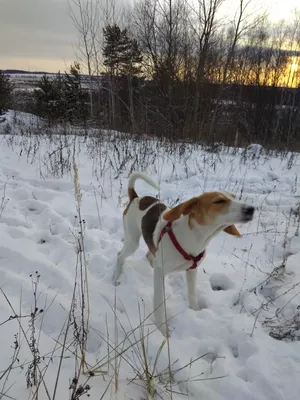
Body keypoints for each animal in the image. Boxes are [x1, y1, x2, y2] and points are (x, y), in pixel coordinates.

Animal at [113, 170, 254, 336]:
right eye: (219, 201)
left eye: (234, 196)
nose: (251, 209)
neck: (196, 237)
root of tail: (135, 197)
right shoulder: (161, 272)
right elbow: (159, 304)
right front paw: (162, 330)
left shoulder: (192, 270)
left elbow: (192, 295)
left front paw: (195, 312)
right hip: (132, 242)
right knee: (120, 255)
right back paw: (115, 278)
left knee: (149, 255)